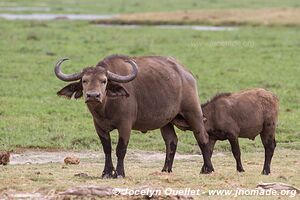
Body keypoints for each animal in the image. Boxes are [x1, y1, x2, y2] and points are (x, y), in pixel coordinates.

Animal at [54, 54, 213, 178]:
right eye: (84, 80)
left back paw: (207, 169)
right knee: (171, 141)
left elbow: (120, 149)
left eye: (104, 81)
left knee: (202, 137)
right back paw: (165, 170)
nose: (93, 95)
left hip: (193, 113)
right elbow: (107, 148)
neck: (106, 108)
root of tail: (187, 73)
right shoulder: (99, 126)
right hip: (166, 122)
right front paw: (106, 172)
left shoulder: (125, 125)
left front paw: (119, 173)